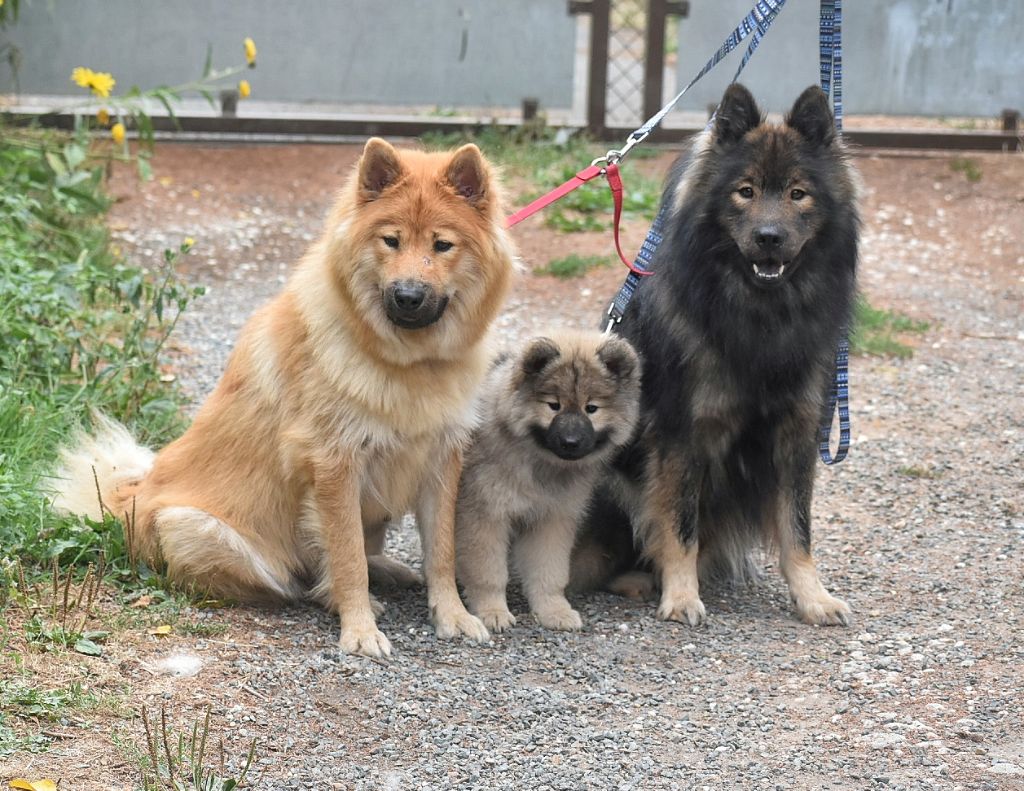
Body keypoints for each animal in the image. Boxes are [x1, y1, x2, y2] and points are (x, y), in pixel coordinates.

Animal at [51, 139, 516, 659]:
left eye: (442, 245)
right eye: (391, 241)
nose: (408, 296)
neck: (408, 363)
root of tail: (125, 502)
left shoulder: (440, 460)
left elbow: (440, 552)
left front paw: (453, 615)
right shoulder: (335, 464)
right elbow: (347, 557)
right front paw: (359, 629)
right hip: (199, 528)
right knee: (293, 576)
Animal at [573, 80, 860, 622]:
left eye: (798, 194)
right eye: (744, 191)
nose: (769, 237)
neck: (760, 313)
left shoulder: (798, 432)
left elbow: (797, 530)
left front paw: (812, 597)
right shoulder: (686, 433)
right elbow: (679, 524)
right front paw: (682, 597)